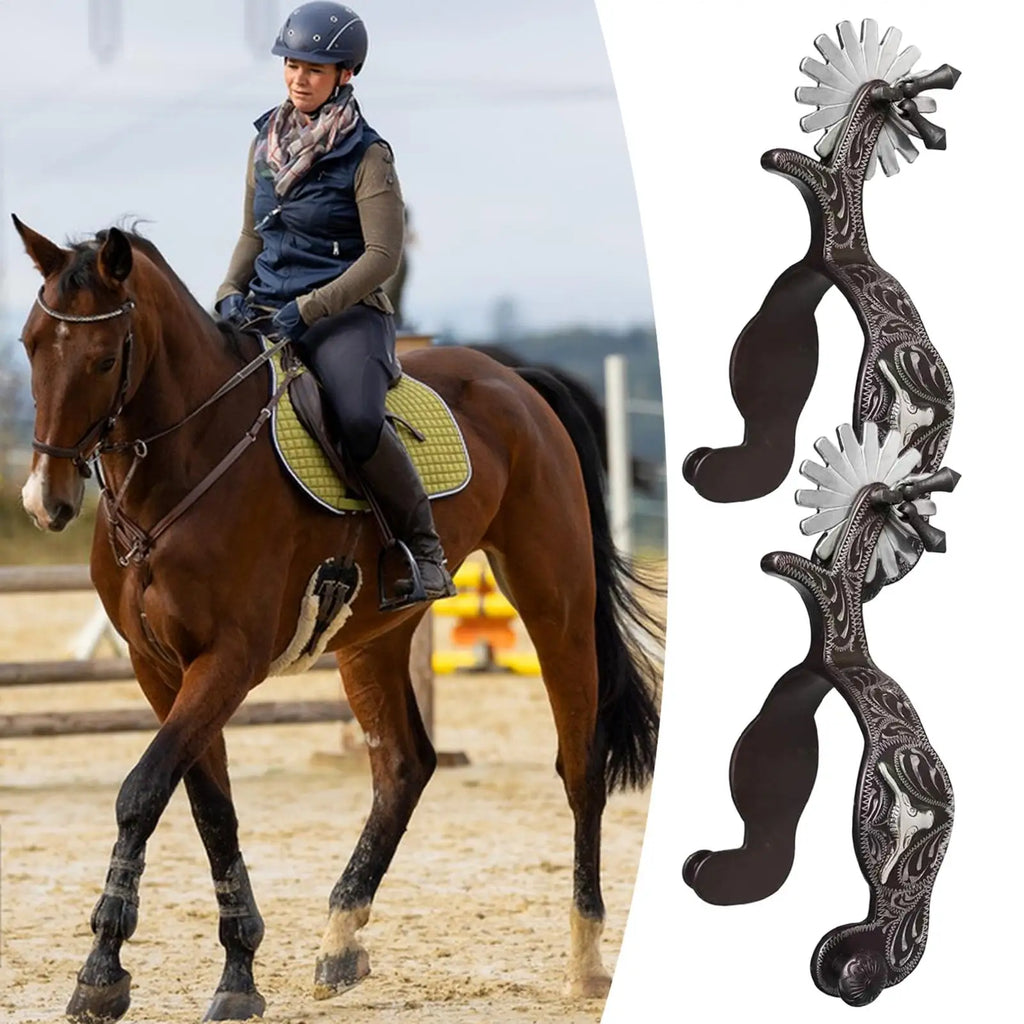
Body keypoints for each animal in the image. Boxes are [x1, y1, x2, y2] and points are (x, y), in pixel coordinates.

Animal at [12, 217, 661, 1023]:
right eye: (30, 343)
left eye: (104, 358)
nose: (45, 502)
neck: (181, 469)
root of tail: (516, 378)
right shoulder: (160, 669)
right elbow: (207, 806)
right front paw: (237, 973)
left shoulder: (228, 662)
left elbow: (142, 792)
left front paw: (101, 971)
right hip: (372, 638)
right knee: (404, 764)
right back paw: (341, 938)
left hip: (555, 600)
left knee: (580, 766)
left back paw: (586, 958)